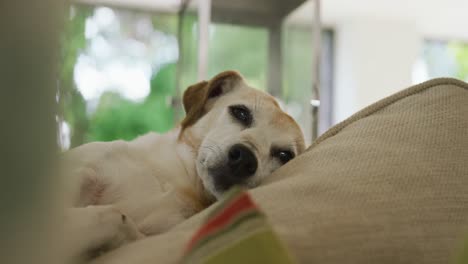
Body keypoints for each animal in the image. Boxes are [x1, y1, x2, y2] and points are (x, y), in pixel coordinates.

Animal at [63, 70, 308, 262]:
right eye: (241, 112)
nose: (246, 159)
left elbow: (115, 219)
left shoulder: (155, 232)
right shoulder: (83, 172)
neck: (176, 179)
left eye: (284, 155)